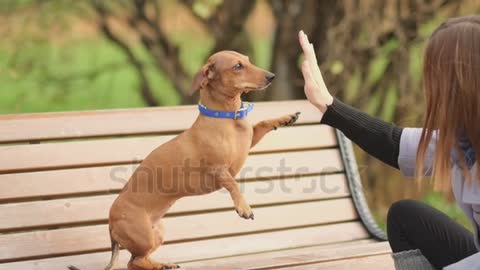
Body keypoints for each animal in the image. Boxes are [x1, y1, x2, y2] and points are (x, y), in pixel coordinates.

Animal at [70, 51, 300, 270]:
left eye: (248, 60)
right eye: (237, 66)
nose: (272, 76)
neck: (228, 119)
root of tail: (110, 224)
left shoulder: (250, 140)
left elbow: (263, 124)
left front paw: (285, 118)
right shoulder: (218, 170)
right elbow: (233, 184)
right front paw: (243, 207)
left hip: (157, 233)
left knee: (138, 260)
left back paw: (162, 264)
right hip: (143, 236)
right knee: (133, 262)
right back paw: (159, 265)